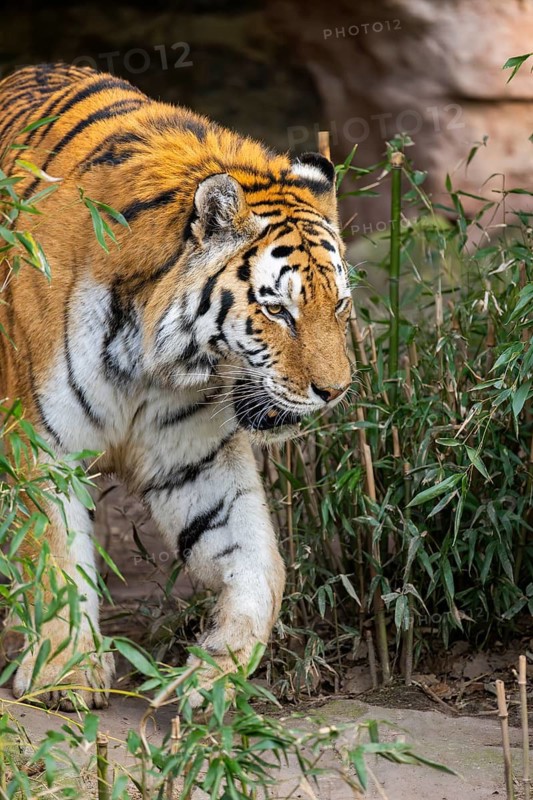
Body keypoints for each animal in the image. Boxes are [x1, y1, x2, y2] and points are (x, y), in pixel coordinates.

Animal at [0, 63, 352, 710]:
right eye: (278, 311)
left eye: (338, 305)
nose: (334, 391)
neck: (154, 364)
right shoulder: (37, 443)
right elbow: (55, 556)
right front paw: (65, 676)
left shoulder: (195, 460)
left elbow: (260, 565)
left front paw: (214, 675)